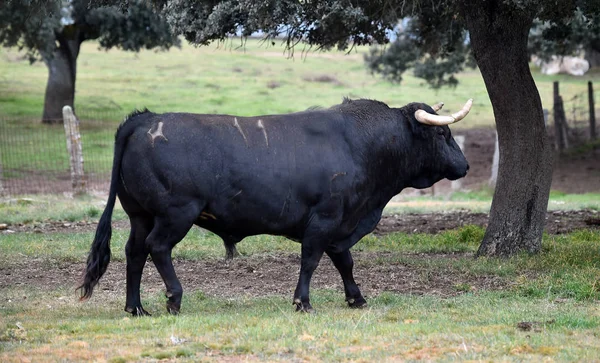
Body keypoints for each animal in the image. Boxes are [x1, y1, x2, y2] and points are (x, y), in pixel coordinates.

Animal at [78, 99, 468, 316]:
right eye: (442, 134)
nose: (464, 166)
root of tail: (144, 118)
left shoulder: (341, 224)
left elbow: (344, 261)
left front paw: (356, 298)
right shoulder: (324, 219)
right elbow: (311, 260)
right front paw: (303, 302)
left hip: (140, 215)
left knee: (134, 252)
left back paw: (136, 307)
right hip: (176, 213)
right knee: (157, 248)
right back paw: (173, 298)